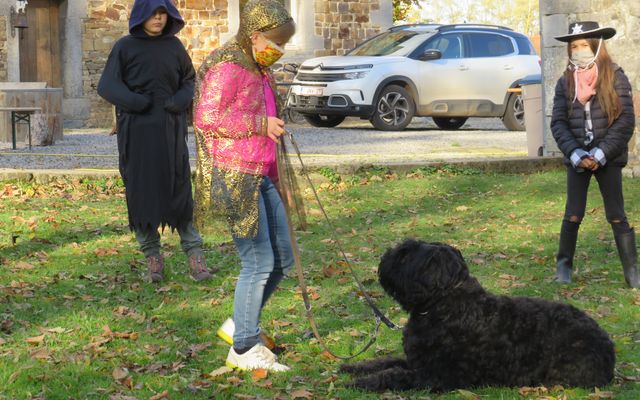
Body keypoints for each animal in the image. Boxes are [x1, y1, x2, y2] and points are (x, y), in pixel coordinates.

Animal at [340, 239, 616, 392]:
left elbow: (392, 374)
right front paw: (353, 367)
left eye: (406, 253)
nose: (385, 256)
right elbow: (386, 362)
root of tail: (608, 347)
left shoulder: (435, 376)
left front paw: (359, 383)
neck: (443, 304)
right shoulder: (416, 360)